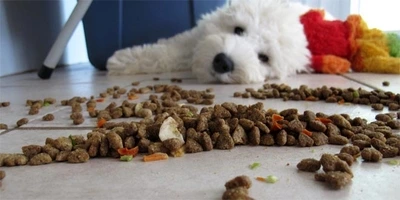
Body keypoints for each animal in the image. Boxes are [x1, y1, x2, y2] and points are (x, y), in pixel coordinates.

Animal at [107, 0, 312, 83]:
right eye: (238, 30)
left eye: (263, 58)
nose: (222, 62)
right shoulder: (197, 36)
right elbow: (167, 51)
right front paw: (122, 60)